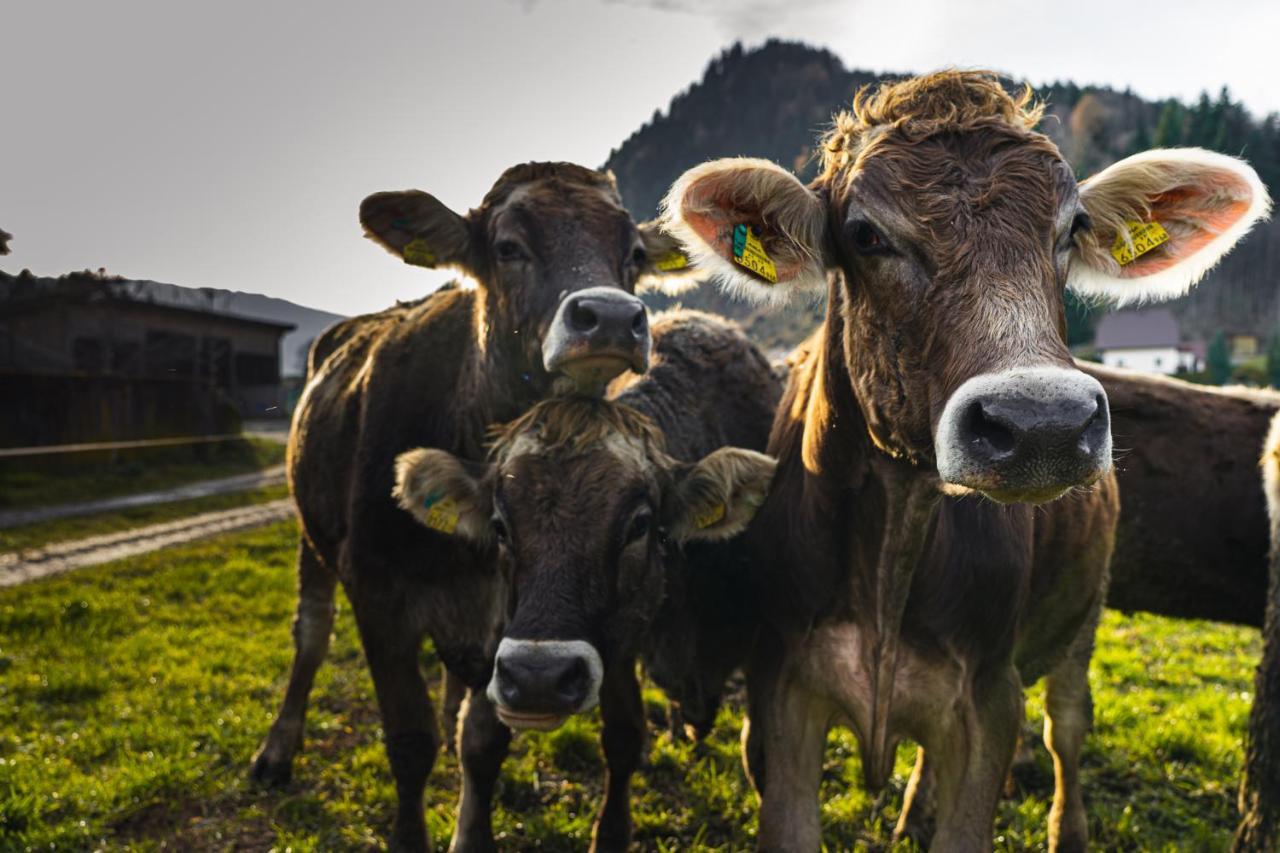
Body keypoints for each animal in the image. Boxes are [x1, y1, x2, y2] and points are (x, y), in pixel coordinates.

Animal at [250, 161, 691, 850]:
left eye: (635, 254)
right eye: (508, 246)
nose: (613, 317)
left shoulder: (514, 623)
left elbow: (481, 744)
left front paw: (471, 829)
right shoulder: (377, 592)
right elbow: (409, 741)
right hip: (312, 536)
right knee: (312, 635)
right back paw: (278, 748)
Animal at [389, 308, 778, 845]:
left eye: (640, 524)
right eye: (500, 526)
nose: (537, 678)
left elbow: (761, 754)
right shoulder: (618, 640)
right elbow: (624, 735)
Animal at [660, 69, 1269, 845]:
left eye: (1071, 228)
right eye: (865, 234)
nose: (1042, 424)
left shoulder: (989, 697)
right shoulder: (783, 690)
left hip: (1085, 612)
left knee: (1067, 725)